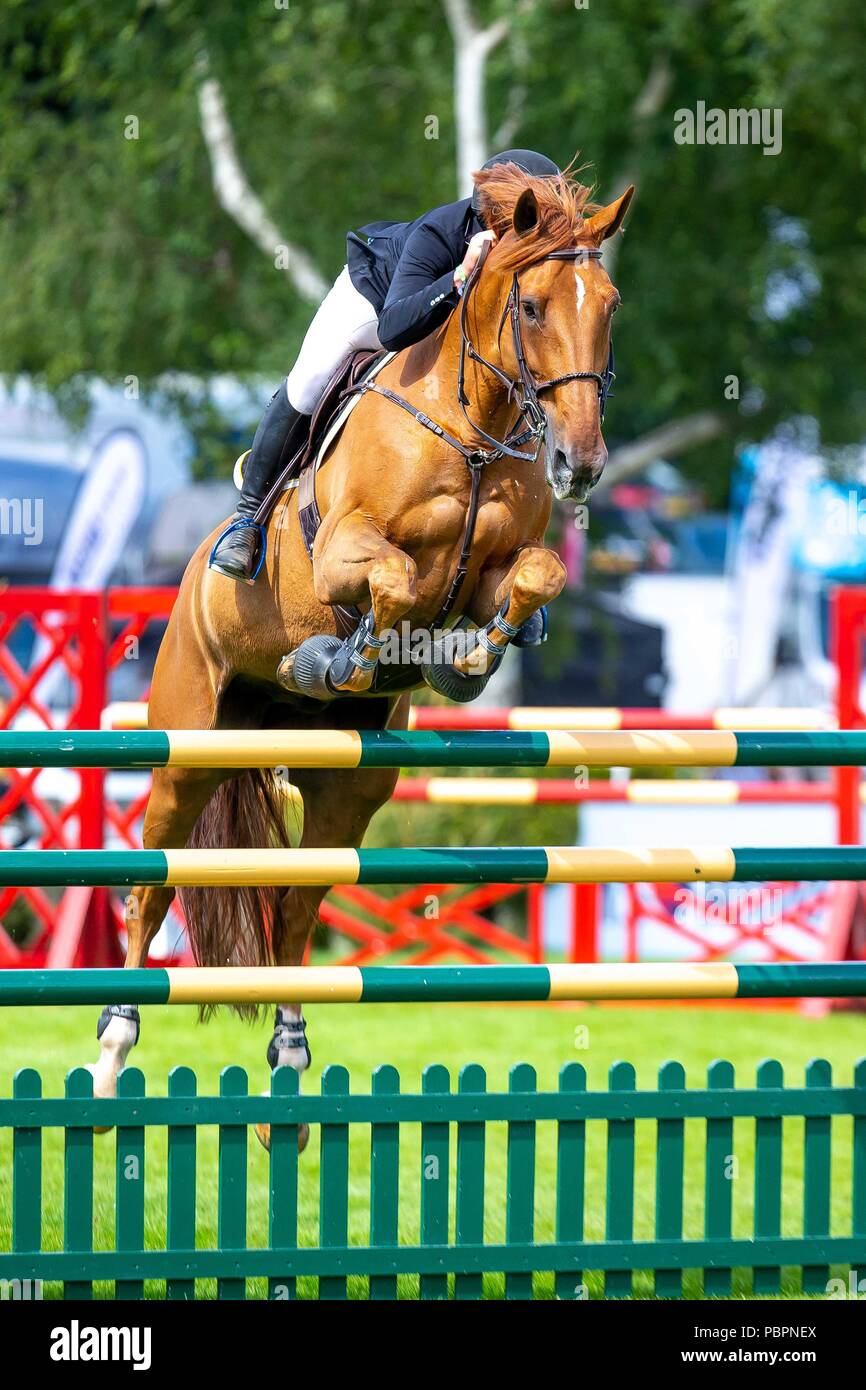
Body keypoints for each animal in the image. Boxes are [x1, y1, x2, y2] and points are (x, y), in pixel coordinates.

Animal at [89, 163, 633, 1144]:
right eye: (533, 305)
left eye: (608, 305)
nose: (581, 463)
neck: (474, 425)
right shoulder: (345, 548)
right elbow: (396, 581)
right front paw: (345, 656)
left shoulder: (504, 569)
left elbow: (532, 576)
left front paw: (463, 660)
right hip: (188, 750)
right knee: (152, 886)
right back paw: (111, 1056)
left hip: (350, 786)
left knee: (298, 907)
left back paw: (289, 1070)